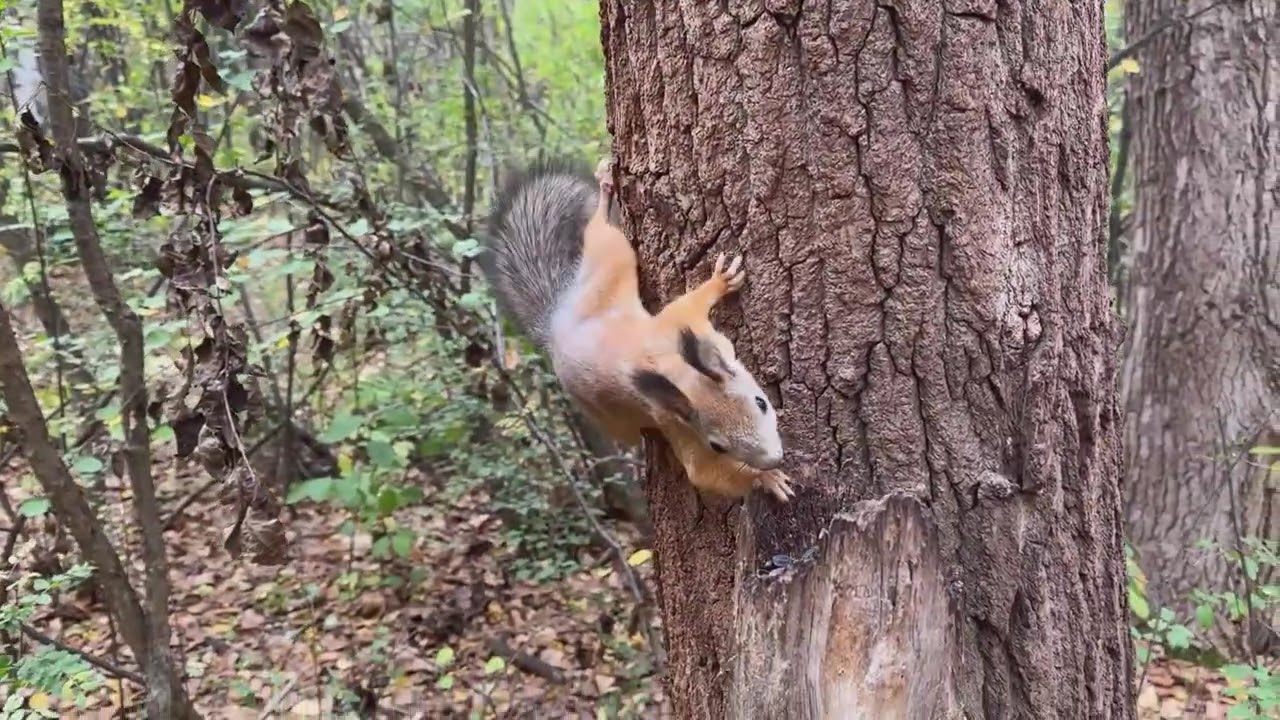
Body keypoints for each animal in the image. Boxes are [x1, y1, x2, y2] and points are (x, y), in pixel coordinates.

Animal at [478, 156, 794, 503]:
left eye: (761, 402)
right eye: (717, 446)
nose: (774, 458)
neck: (674, 372)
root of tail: (554, 325)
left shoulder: (678, 325)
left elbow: (689, 304)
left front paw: (720, 282)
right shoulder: (677, 426)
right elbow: (706, 476)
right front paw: (766, 479)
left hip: (607, 272)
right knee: (600, 232)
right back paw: (605, 191)